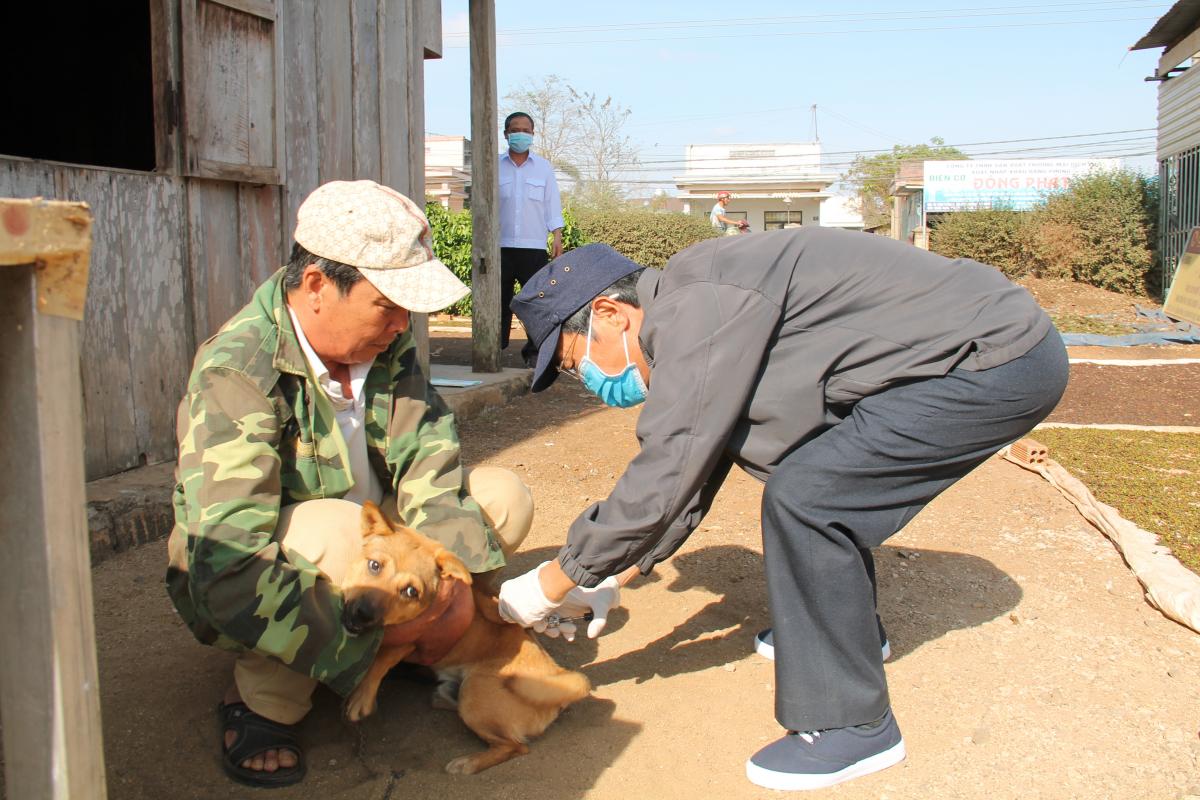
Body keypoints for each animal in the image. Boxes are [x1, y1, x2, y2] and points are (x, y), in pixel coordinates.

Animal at [338, 503, 590, 772]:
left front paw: (362, 696)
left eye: (411, 591)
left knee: (514, 746)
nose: (363, 613)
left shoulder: (414, 637)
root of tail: (557, 680)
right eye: (374, 565)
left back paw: (468, 762)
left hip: (474, 694)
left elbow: (380, 659)